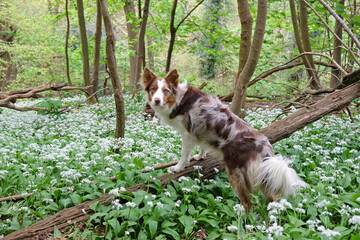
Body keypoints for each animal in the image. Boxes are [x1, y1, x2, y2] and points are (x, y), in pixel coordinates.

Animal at [141, 68, 306, 210]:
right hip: (264, 176)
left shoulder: (187, 134)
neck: (179, 99)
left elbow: (183, 155)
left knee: (248, 204)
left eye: (165, 91)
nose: (156, 100)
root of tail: (265, 146)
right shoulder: (201, 131)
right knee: (271, 200)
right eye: (153, 89)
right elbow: (202, 145)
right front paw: (200, 156)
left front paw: (178, 167)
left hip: (235, 174)